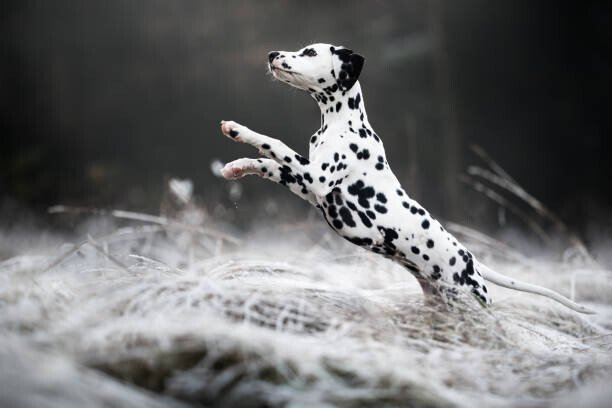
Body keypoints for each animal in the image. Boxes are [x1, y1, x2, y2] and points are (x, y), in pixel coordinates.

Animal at [219, 43, 592, 314]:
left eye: (309, 52)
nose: (271, 54)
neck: (339, 123)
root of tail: (472, 262)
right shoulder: (311, 189)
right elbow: (270, 164)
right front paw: (237, 166)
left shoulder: (317, 178)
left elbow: (274, 143)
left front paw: (238, 130)